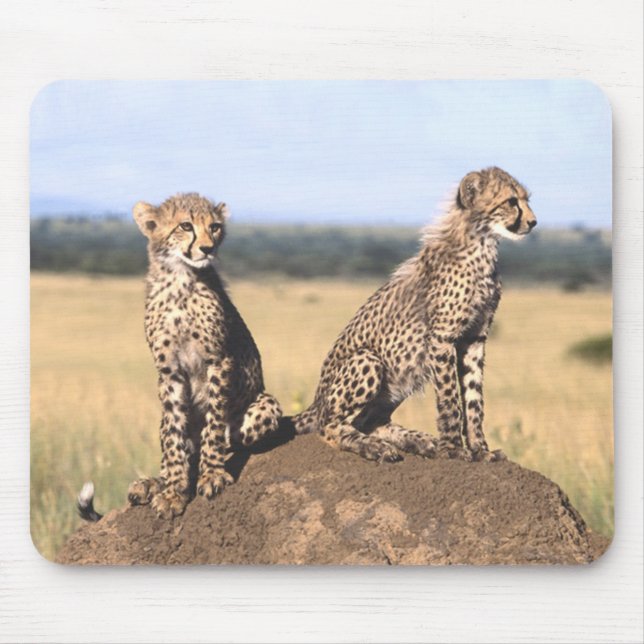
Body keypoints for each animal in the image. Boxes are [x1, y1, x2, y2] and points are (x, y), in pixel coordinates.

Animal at [291, 167, 537, 464]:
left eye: (526, 199)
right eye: (511, 201)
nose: (533, 222)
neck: (481, 244)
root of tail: (315, 401)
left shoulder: (475, 338)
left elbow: (473, 397)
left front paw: (481, 449)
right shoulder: (442, 338)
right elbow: (450, 398)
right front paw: (454, 448)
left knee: (371, 422)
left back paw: (419, 441)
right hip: (369, 359)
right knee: (329, 427)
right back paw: (377, 447)